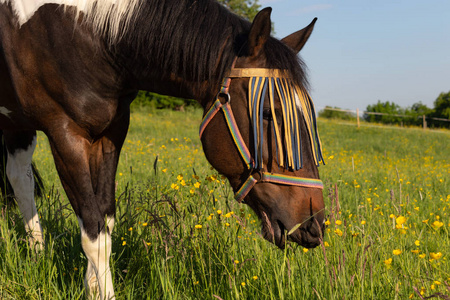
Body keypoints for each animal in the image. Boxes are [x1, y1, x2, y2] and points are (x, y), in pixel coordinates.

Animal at [0, 0, 324, 298]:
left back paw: (37, 256)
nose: (314, 224)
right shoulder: (65, 136)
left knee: (20, 180)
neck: (86, 33)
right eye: (268, 113)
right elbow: (94, 232)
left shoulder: (110, 134)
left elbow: (105, 220)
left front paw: (91, 287)